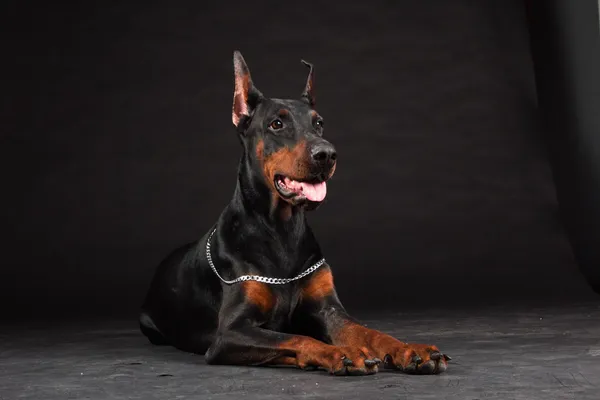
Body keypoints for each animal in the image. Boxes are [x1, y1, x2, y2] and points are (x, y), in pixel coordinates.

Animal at [142, 50, 450, 376]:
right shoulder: (229, 334)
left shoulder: (329, 309)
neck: (281, 231)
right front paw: (342, 352)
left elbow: (370, 332)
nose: (327, 154)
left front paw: (410, 350)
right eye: (277, 124)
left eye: (319, 124)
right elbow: (296, 338)